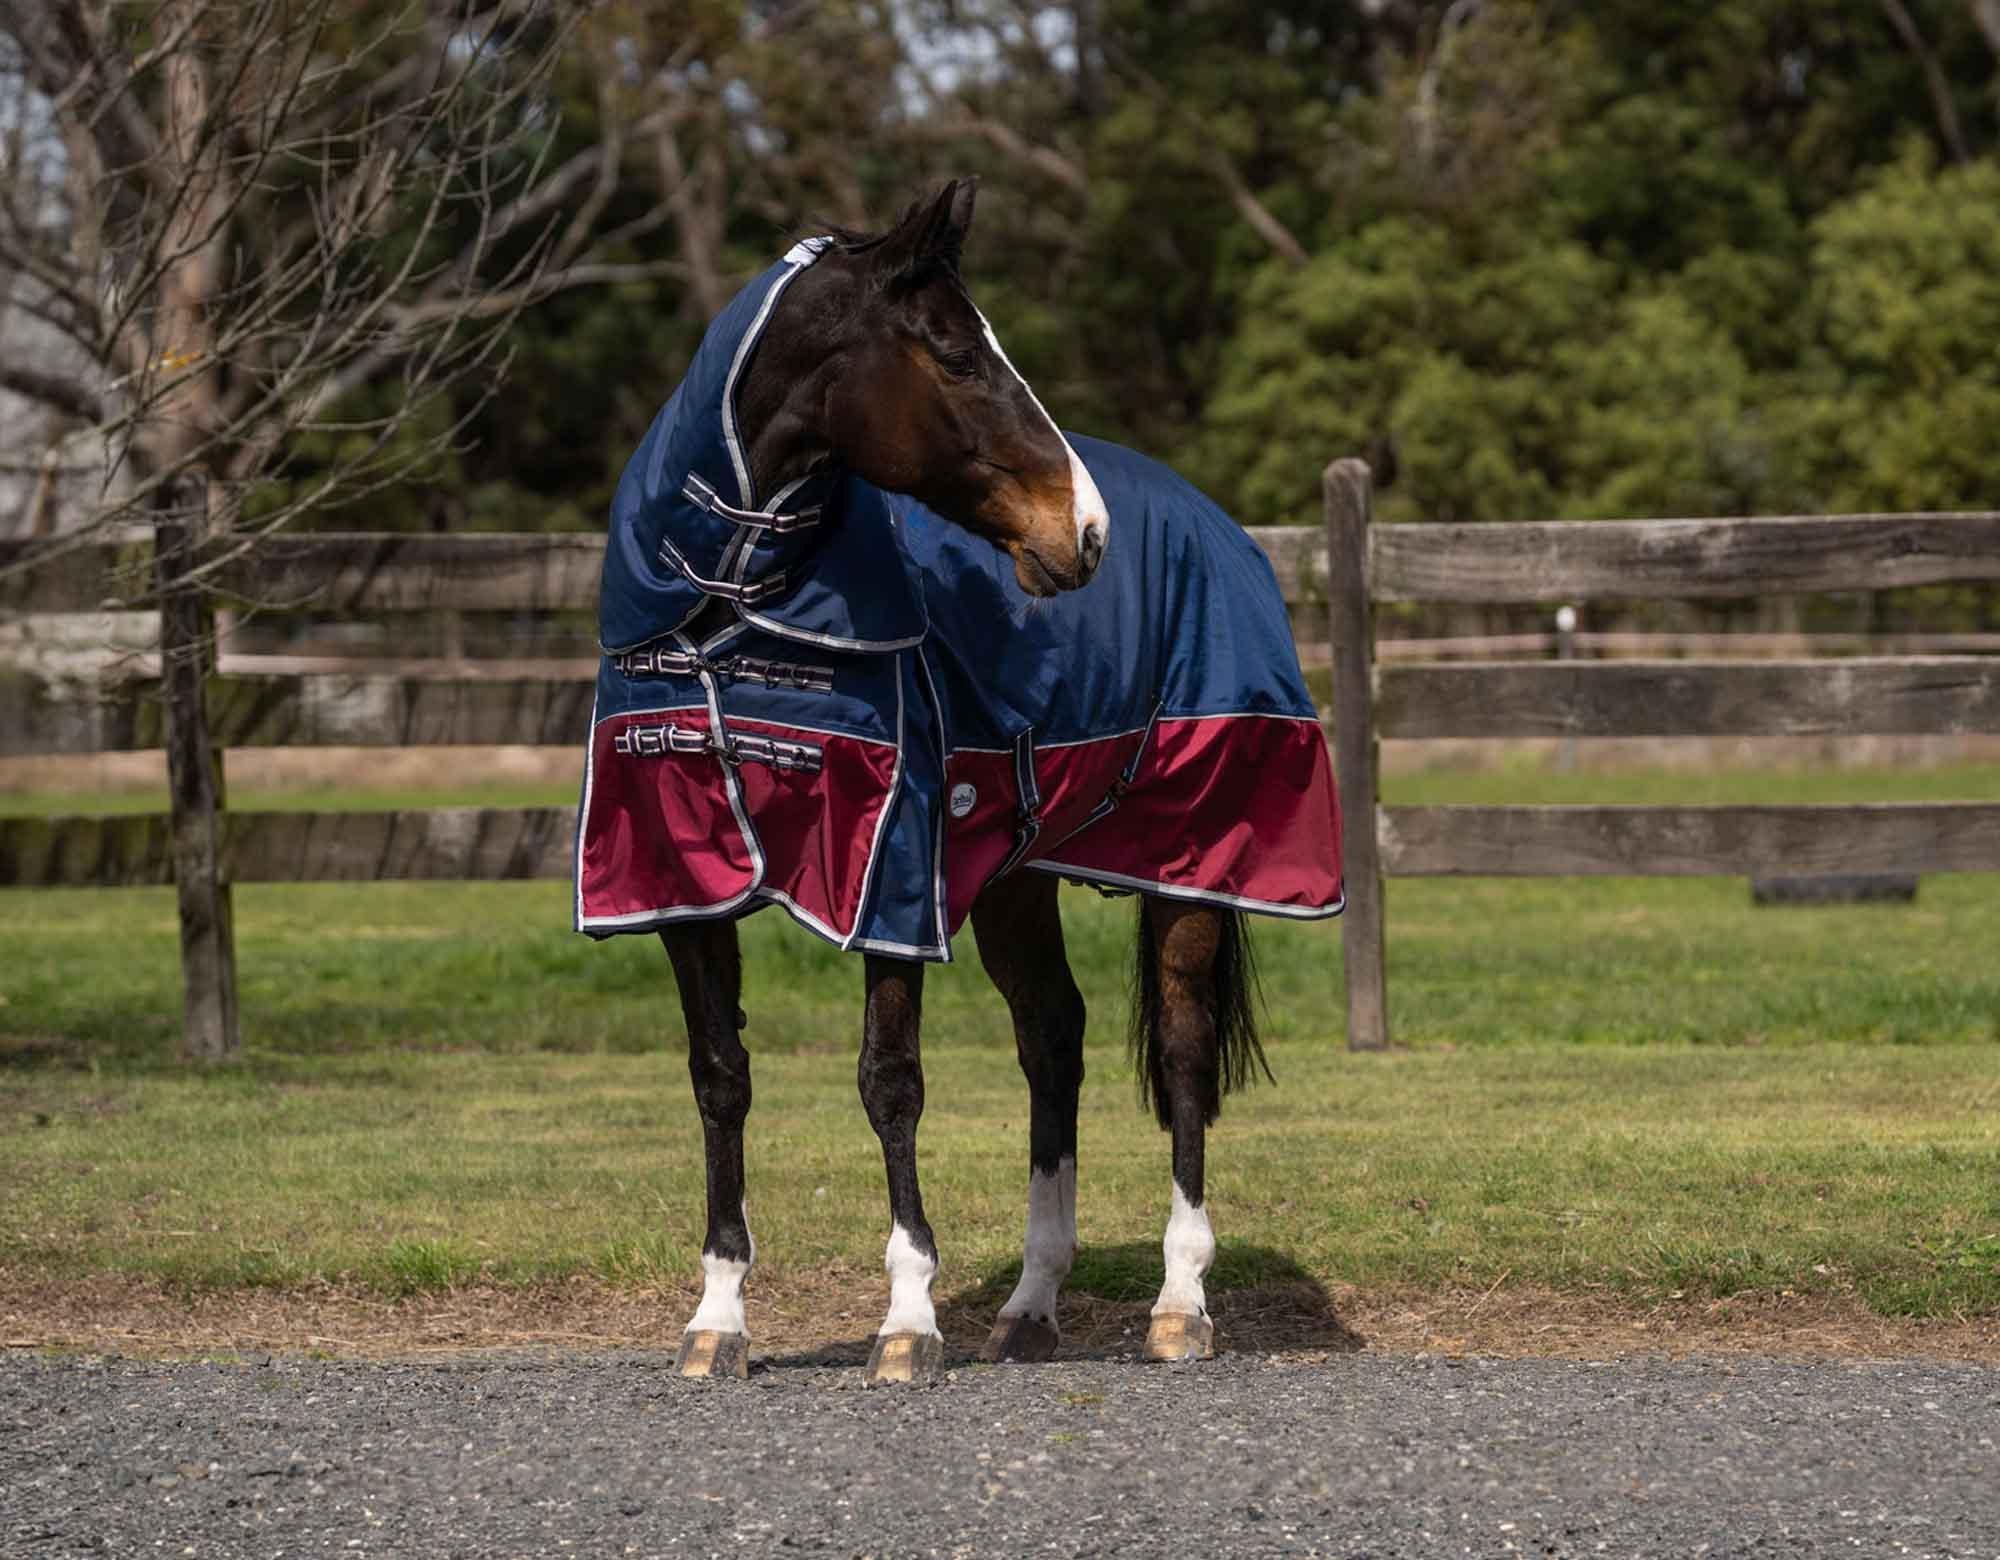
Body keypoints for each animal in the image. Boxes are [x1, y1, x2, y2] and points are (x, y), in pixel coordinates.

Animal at [575, 178, 1343, 1383]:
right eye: (954, 353)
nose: (1084, 530)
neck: (730, 610)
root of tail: (1218, 526)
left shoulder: (891, 866)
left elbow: (889, 1079)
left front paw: (907, 1320)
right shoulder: (680, 876)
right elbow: (718, 1077)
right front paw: (719, 1318)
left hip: (1197, 860)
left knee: (1180, 1054)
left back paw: (1180, 1302)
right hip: (1015, 874)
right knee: (1054, 1038)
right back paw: (1031, 1305)